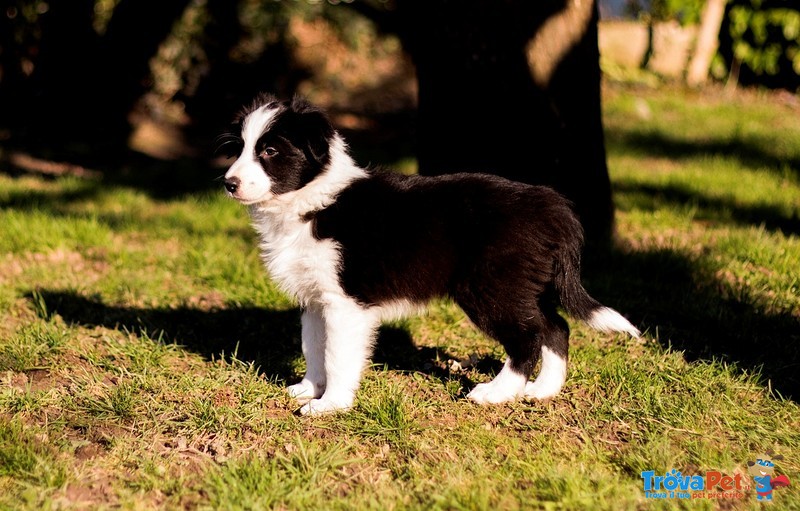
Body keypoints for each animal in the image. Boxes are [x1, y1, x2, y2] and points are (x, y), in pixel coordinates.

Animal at [217, 95, 636, 416]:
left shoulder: (344, 302)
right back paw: (544, 389)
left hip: (490, 287)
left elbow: (337, 355)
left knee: (528, 337)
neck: (312, 200)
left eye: (270, 151)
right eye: (239, 149)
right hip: (526, 285)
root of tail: (552, 207)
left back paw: (495, 393)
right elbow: (313, 346)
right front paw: (308, 388)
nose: (228, 183)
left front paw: (330, 405)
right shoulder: (315, 298)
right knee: (556, 327)